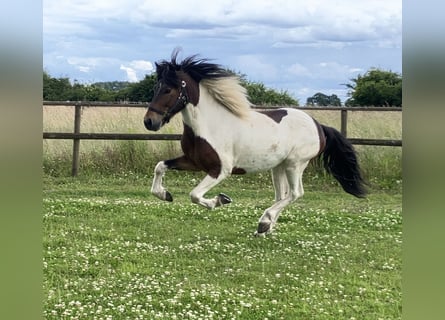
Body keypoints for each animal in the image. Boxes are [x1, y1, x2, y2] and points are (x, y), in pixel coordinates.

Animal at [144, 51, 366, 236]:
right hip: (278, 166)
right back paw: (265, 228)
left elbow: (195, 195)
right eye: (155, 87)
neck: (209, 125)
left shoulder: (220, 170)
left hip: (295, 164)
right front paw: (165, 194)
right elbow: (160, 166)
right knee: (281, 195)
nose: (149, 122)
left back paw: (264, 222)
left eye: (168, 89)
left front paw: (221, 200)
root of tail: (319, 126)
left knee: (295, 193)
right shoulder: (193, 162)